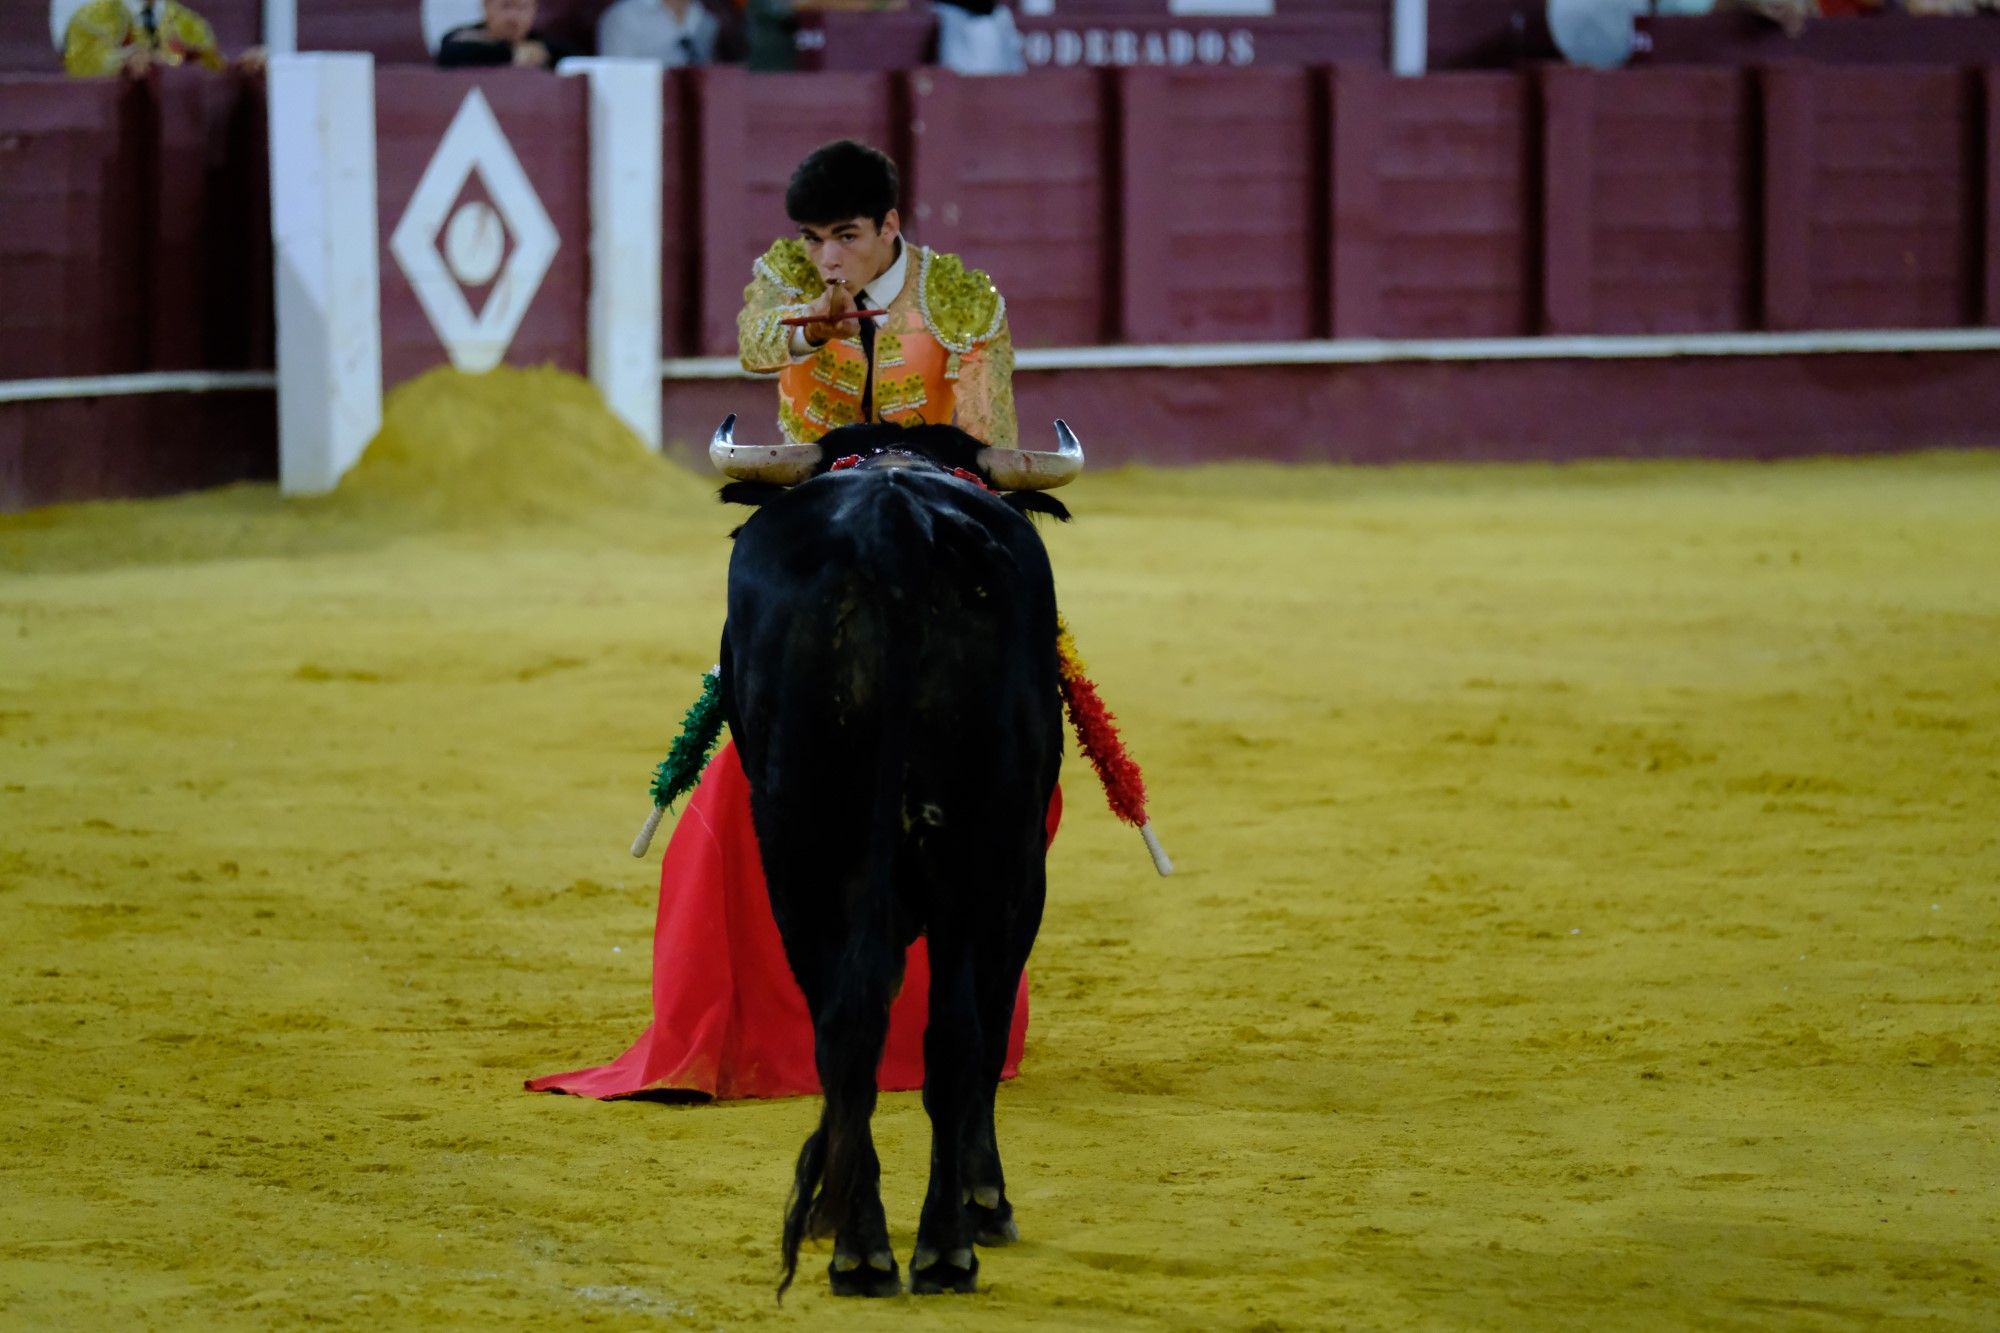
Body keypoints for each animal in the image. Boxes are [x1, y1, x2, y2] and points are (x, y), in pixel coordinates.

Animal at [712, 412, 1088, 1288]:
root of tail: (895, 528)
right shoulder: (1024, 872)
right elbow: (985, 1026)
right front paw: (987, 1198)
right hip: (975, 857)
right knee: (948, 1034)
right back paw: (937, 1240)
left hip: (802, 852)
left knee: (848, 1026)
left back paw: (865, 1246)